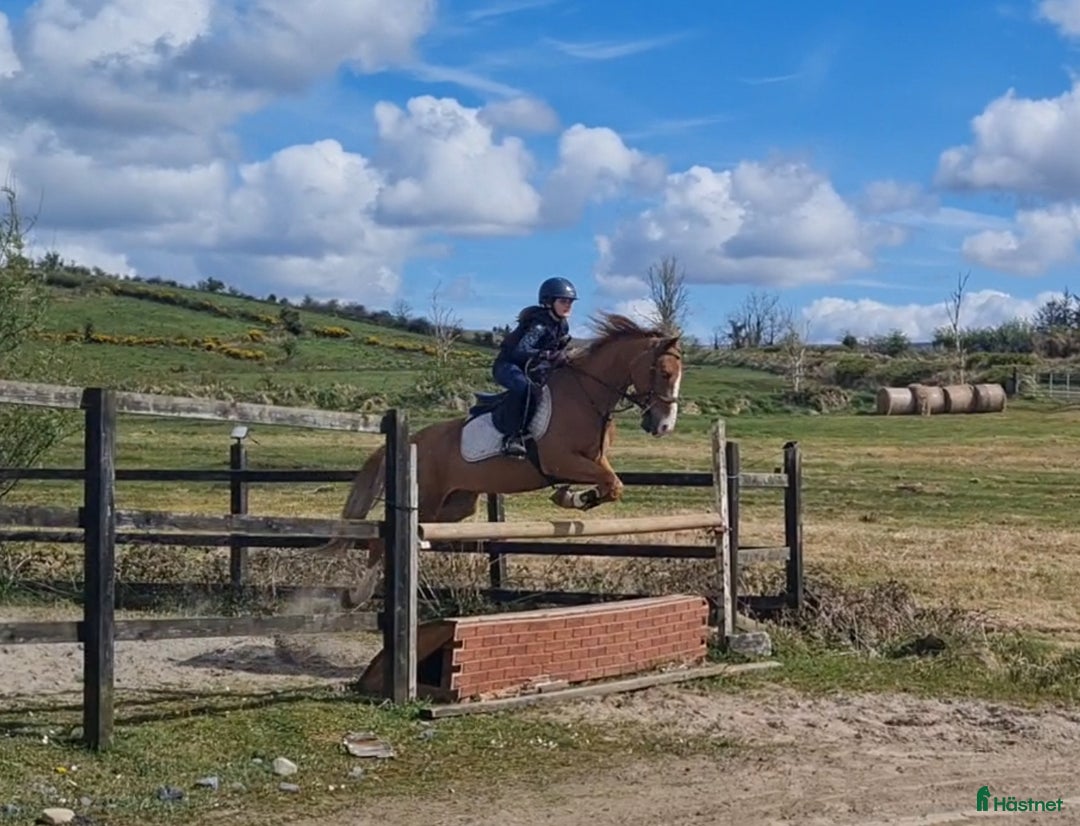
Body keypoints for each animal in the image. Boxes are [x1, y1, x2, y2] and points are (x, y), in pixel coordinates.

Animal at [315, 312, 684, 607]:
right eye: (664, 372)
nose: (663, 426)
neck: (587, 394)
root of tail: (412, 439)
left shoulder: (593, 461)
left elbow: (612, 485)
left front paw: (569, 496)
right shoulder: (559, 460)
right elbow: (611, 483)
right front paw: (570, 497)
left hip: (456, 504)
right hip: (429, 497)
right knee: (379, 542)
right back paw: (358, 595)